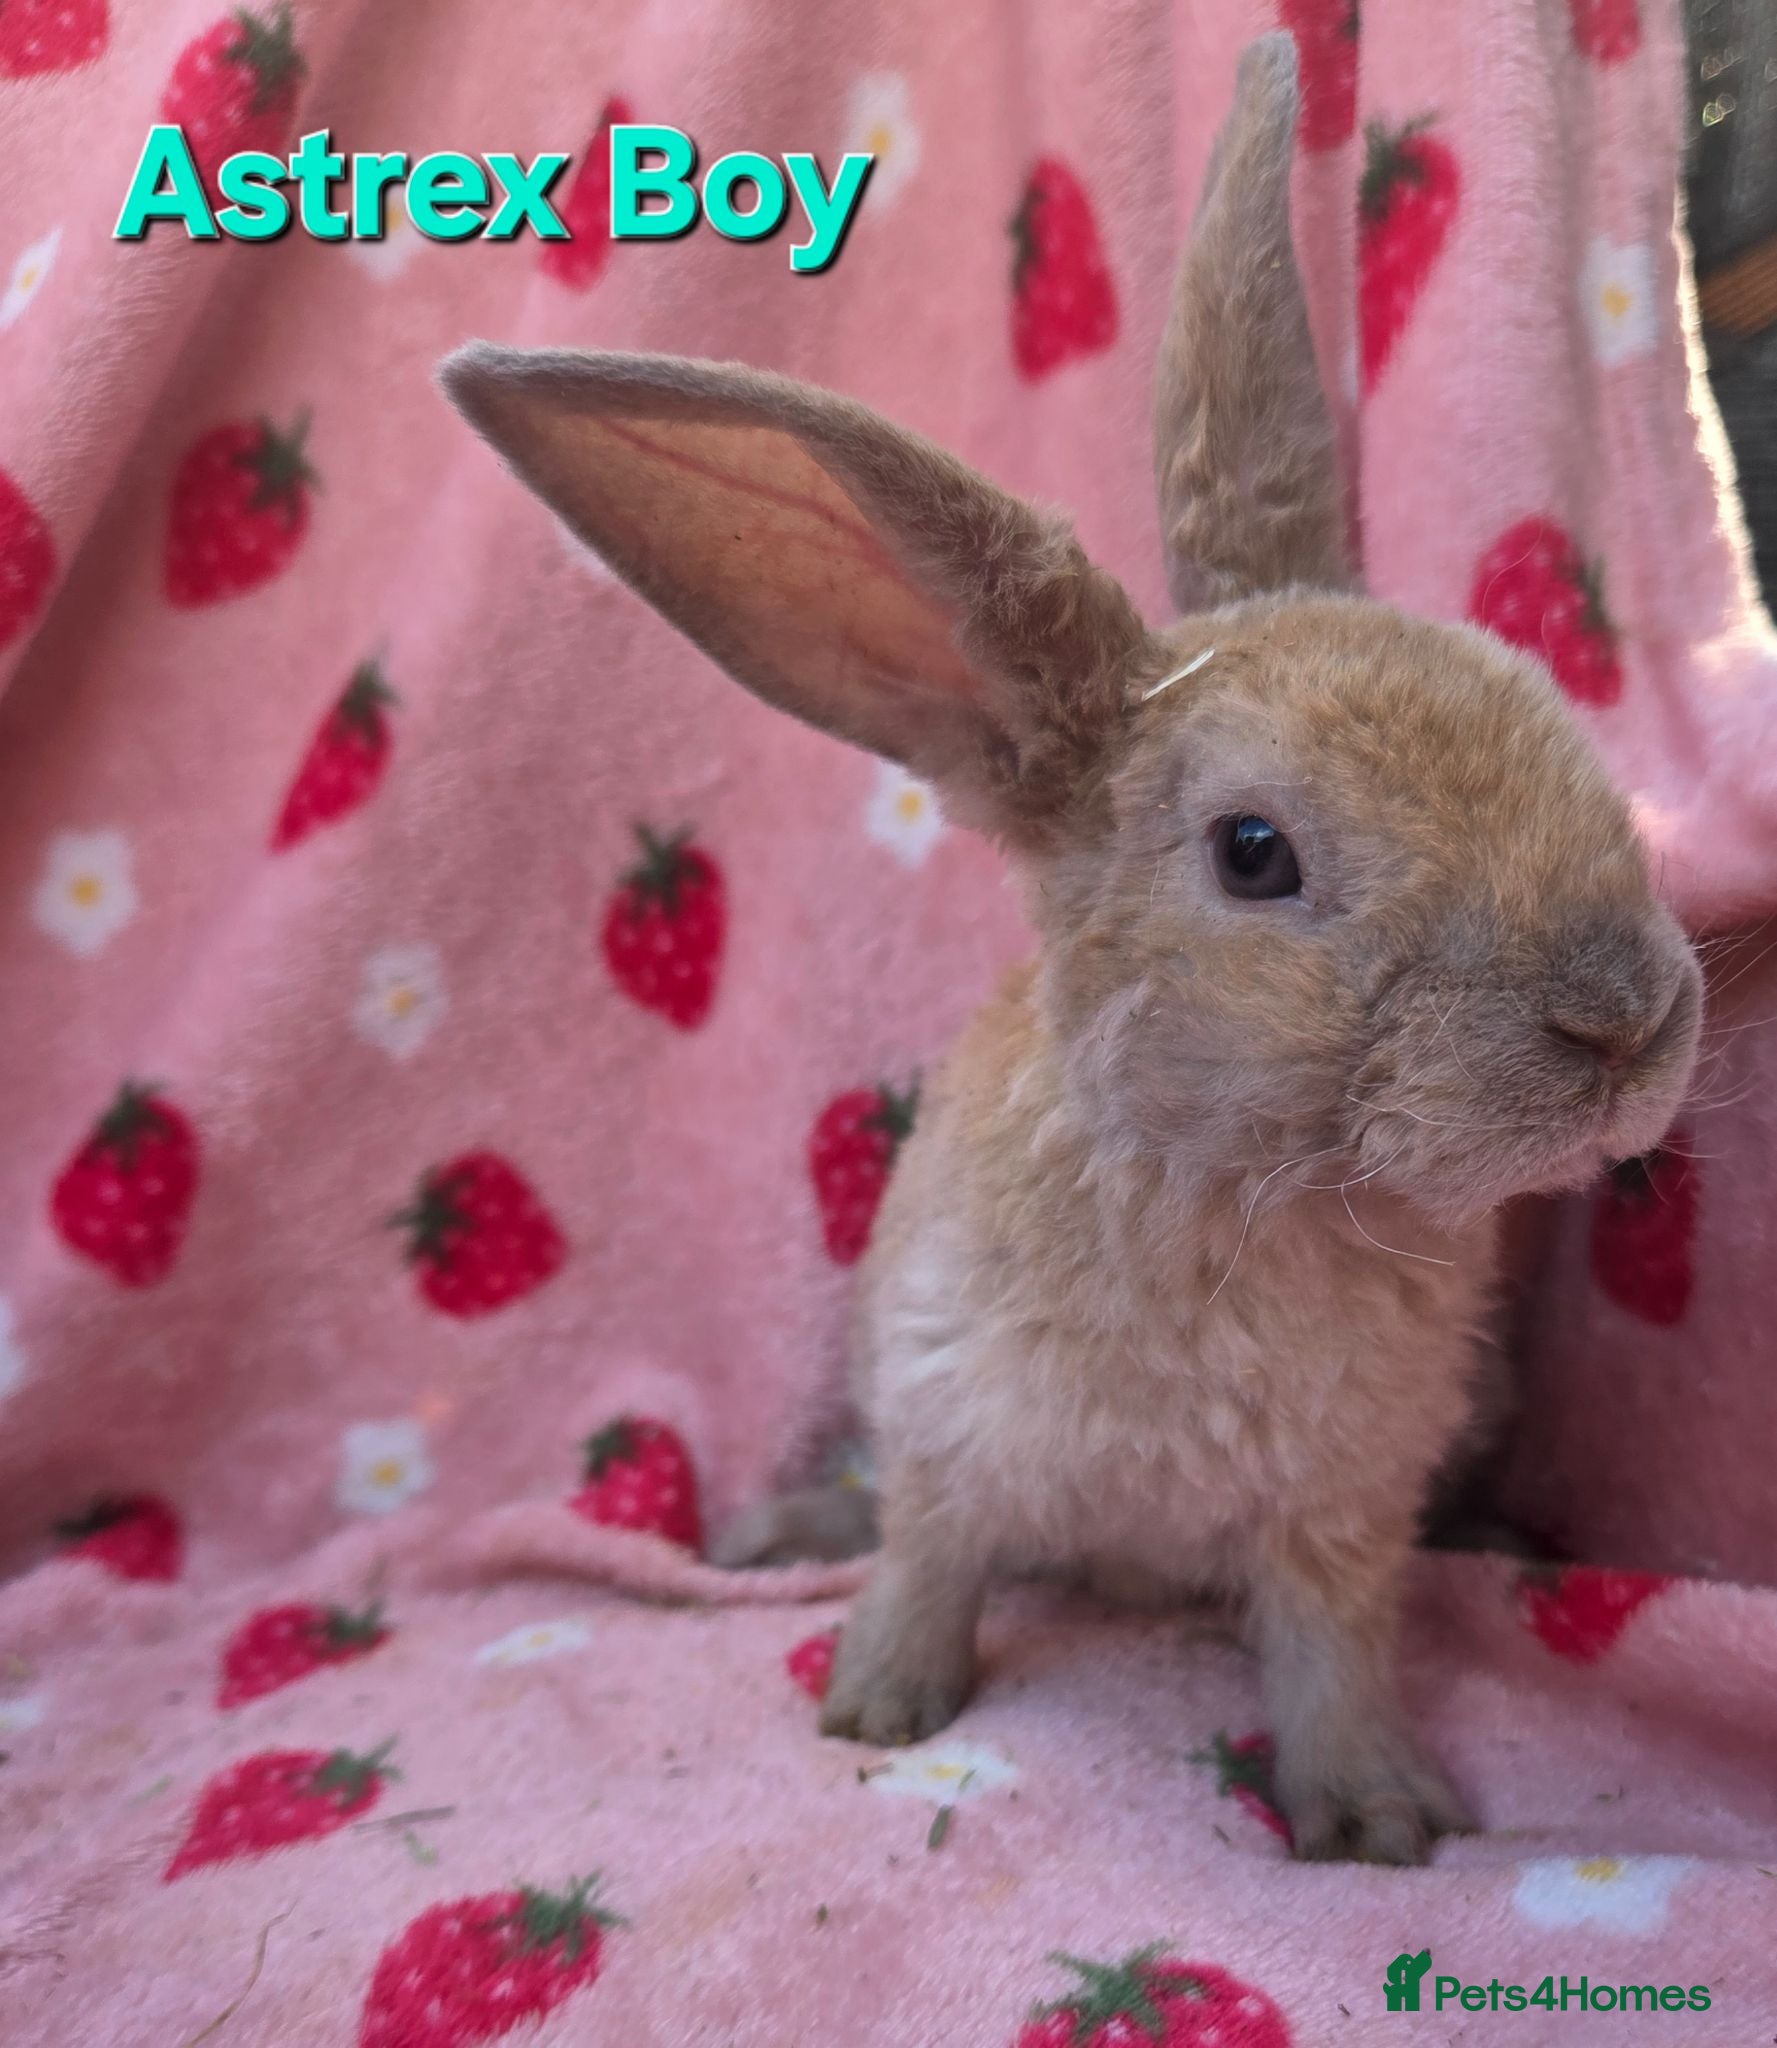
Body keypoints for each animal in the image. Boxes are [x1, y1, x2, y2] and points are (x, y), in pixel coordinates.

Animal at [441, 33, 1702, 1864]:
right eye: (1253, 853)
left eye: (1553, 707)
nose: (1626, 1018)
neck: (1232, 1191)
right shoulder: (945, 1429)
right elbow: (925, 1565)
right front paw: (874, 1711)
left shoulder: (1342, 1515)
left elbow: (1331, 1649)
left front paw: (1374, 1819)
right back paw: (770, 1537)